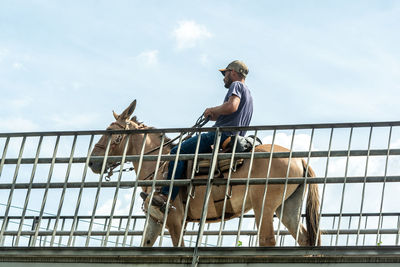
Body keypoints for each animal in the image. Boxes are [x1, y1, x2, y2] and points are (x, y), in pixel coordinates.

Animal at [89, 101, 320, 249]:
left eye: (110, 132)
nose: (92, 161)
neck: (158, 165)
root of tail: (300, 159)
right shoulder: (155, 221)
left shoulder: (175, 220)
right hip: (287, 208)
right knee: (305, 239)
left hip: (263, 207)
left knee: (267, 240)